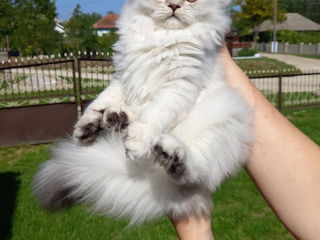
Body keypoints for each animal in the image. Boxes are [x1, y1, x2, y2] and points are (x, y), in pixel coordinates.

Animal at [32, 0, 252, 225]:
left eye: (191, 1)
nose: (174, 5)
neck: (162, 37)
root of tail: (152, 172)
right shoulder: (123, 77)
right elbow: (99, 102)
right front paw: (86, 128)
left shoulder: (179, 86)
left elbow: (153, 115)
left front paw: (137, 143)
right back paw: (117, 120)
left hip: (224, 114)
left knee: (193, 172)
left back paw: (168, 152)